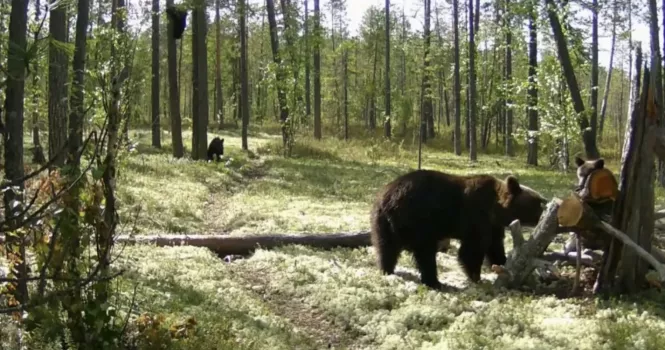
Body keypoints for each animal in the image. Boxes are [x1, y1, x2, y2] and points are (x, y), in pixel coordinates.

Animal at [368, 168, 544, 288]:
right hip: (419, 220)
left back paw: (386, 270)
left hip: (382, 222)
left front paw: (505, 265)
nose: (544, 212)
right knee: (425, 252)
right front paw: (476, 278)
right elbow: (472, 250)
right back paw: (434, 281)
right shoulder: (476, 217)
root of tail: (389, 198)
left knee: (386, 248)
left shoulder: (493, 226)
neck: (496, 209)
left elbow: (495, 248)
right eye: (538, 203)